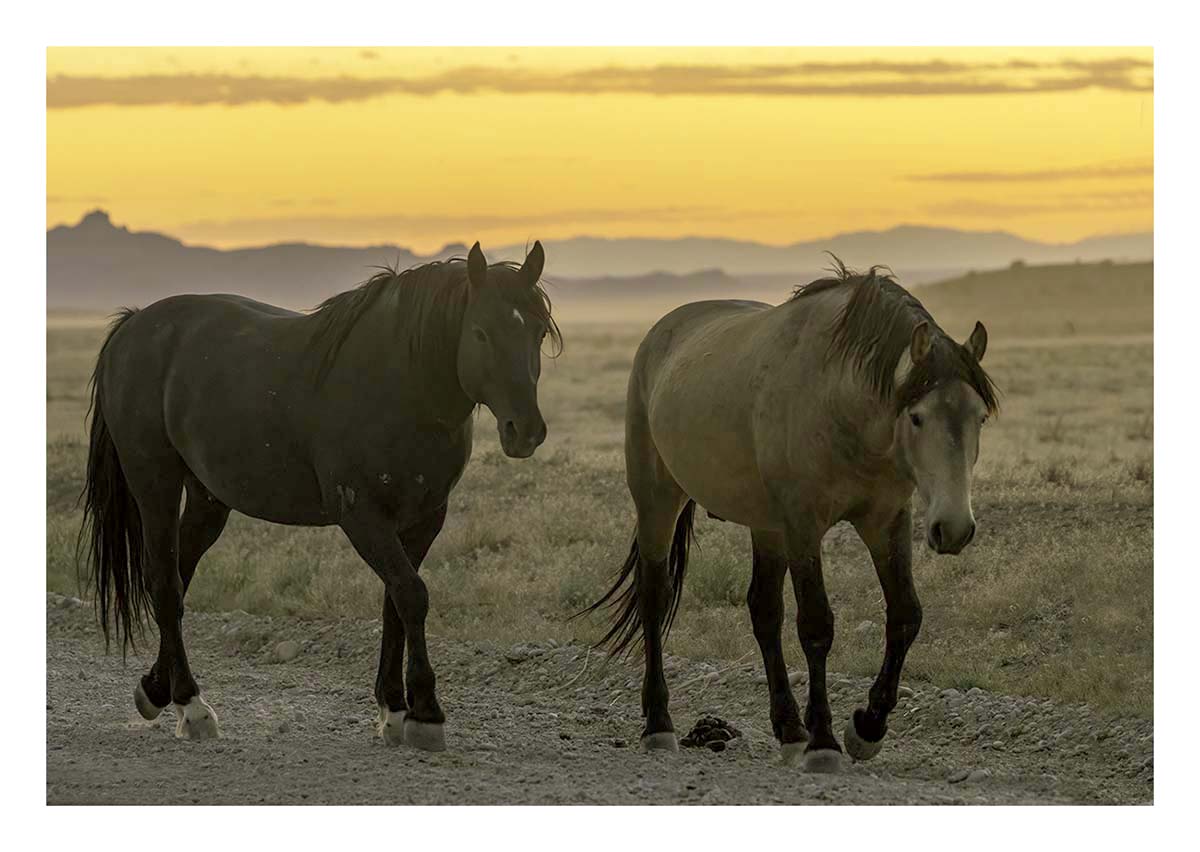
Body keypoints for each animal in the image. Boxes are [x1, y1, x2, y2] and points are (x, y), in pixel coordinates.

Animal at [79, 241, 560, 751]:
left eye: (538, 332)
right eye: (481, 332)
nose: (526, 431)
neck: (400, 385)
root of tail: (134, 326)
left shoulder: (424, 518)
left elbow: (395, 601)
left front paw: (394, 709)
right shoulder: (363, 516)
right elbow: (412, 595)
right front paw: (425, 713)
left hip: (207, 499)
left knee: (176, 575)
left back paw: (155, 689)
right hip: (156, 484)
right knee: (165, 585)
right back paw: (192, 707)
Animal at [585, 258, 997, 773]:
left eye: (980, 417)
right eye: (918, 417)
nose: (955, 528)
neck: (839, 403)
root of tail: (661, 333)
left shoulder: (885, 521)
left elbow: (905, 616)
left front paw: (866, 728)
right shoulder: (803, 526)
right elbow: (817, 626)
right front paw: (824, 743)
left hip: (766, 527)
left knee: (764, 611)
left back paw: (789, 730)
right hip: (658, 500)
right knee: (655, 598)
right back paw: (660, 725)